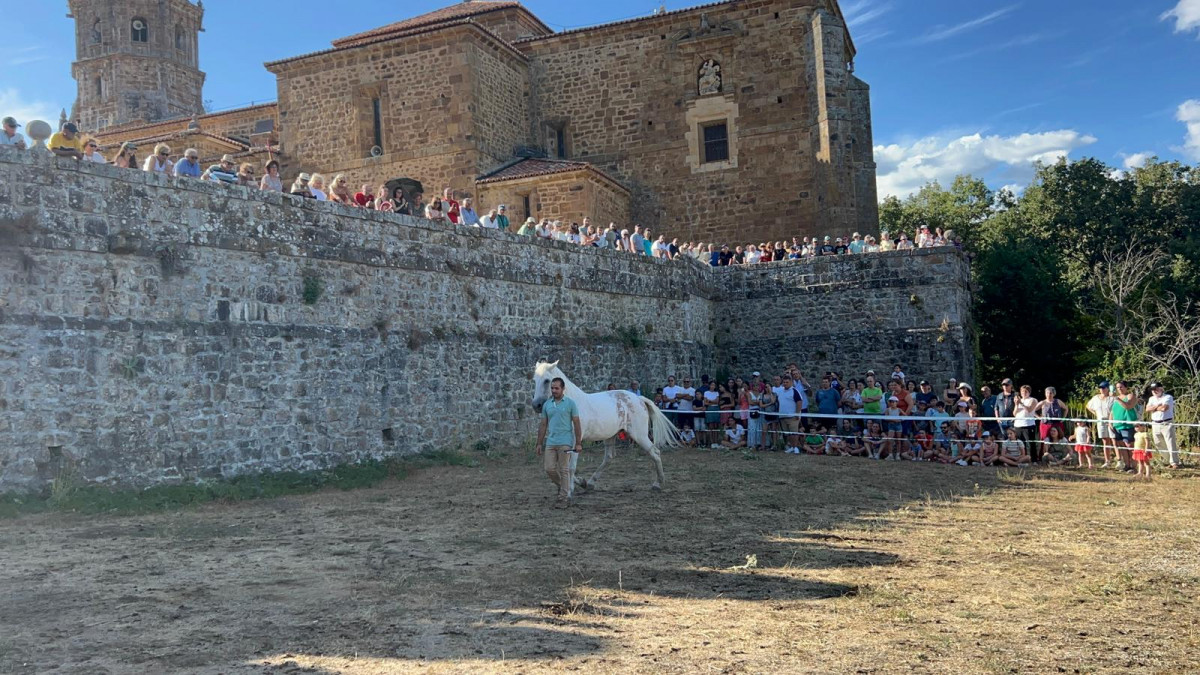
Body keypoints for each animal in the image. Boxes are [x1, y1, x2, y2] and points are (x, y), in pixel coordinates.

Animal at [530, 357, 681, 487]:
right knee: (609, 458)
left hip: (640, 435)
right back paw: (590, 482)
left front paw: (571, 489)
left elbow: (570, 467)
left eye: (547, 380)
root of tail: (639, 399)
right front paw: (580, 482)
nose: (536, 405)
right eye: (535, 380)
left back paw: (658, 483)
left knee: (655, 452)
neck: (572, 402)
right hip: (611, 436)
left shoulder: (575, 441)